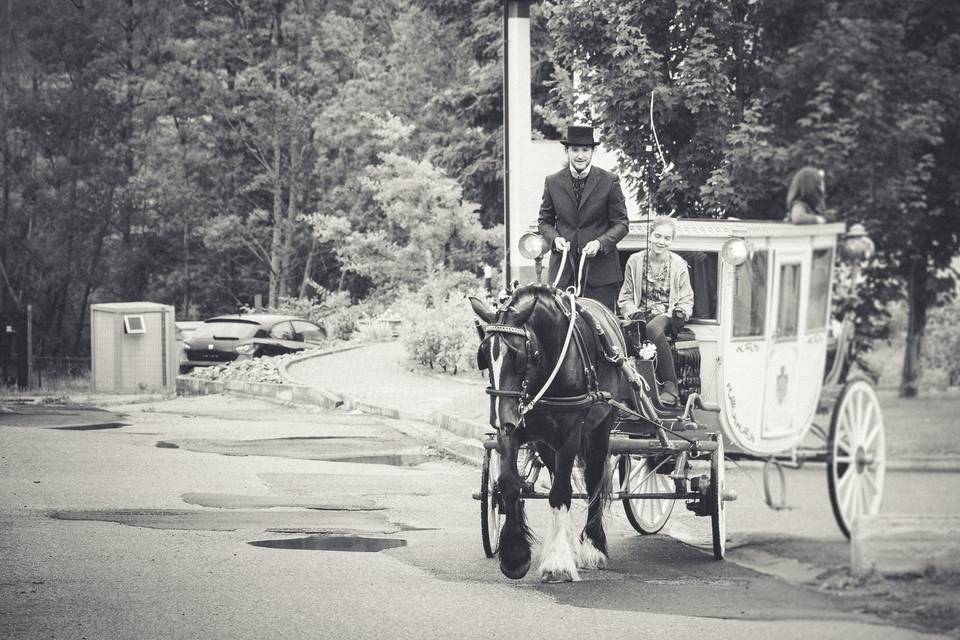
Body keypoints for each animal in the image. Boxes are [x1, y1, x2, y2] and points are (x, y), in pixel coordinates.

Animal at [470, 284, 624, 580]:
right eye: (484, 355)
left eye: (517, 355)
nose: (500, 419)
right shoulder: (514, 431)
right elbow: (509, 483)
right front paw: (515, 556)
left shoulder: (571, 434)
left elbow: (561, 493)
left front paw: (558, 564)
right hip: (544, 442)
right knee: (557, 476)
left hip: (600, 429)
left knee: (593, 480)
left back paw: (593, 547)